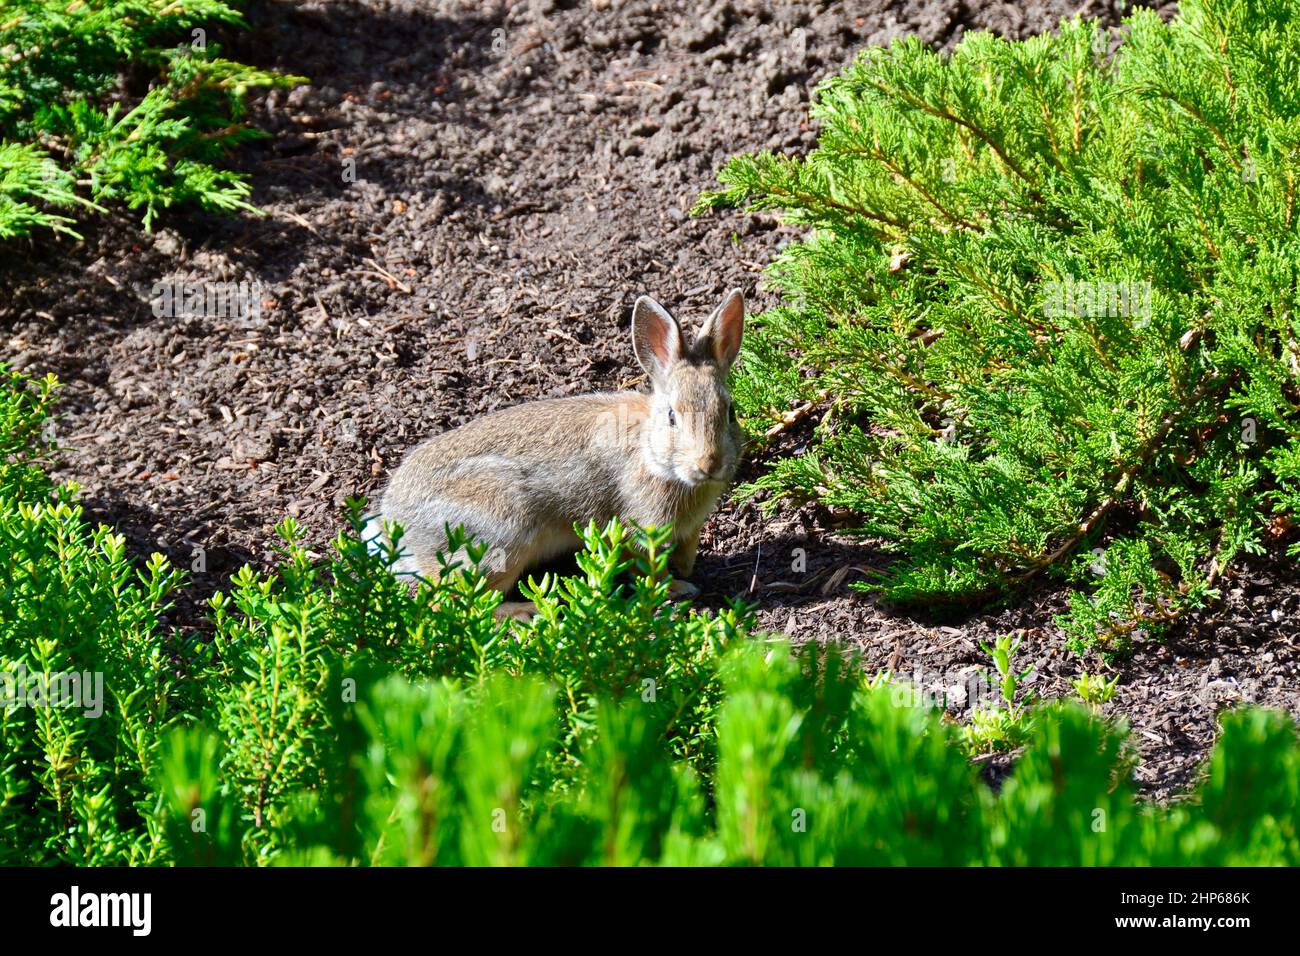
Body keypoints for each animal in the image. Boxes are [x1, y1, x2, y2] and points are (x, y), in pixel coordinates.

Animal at [363, 289, 746, 617]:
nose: (710, 462)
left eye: (731, 412)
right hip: (498, 535)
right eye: (672, 417)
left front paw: (686, 571)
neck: (650, 452)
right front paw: (677, 589)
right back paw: (522, 612)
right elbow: (647, 569)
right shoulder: (639, 527)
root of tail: (394, 523)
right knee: (457, 601)